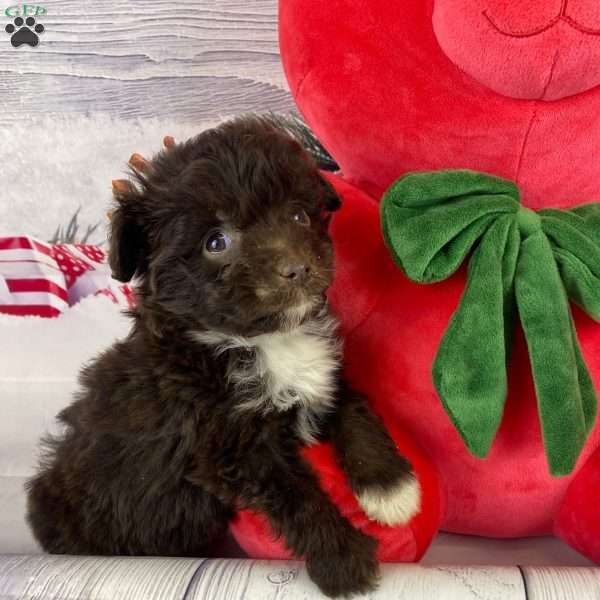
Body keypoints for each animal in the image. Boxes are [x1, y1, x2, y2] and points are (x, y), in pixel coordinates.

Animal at [27, 116, 422, 596]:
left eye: (298, 215)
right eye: (216, 242)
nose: (298, 268)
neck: (259, 341)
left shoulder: (322, 375)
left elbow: (353, 405)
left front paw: (390, 486)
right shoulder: (229, 449)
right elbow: (295, 494)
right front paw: (344, 559)